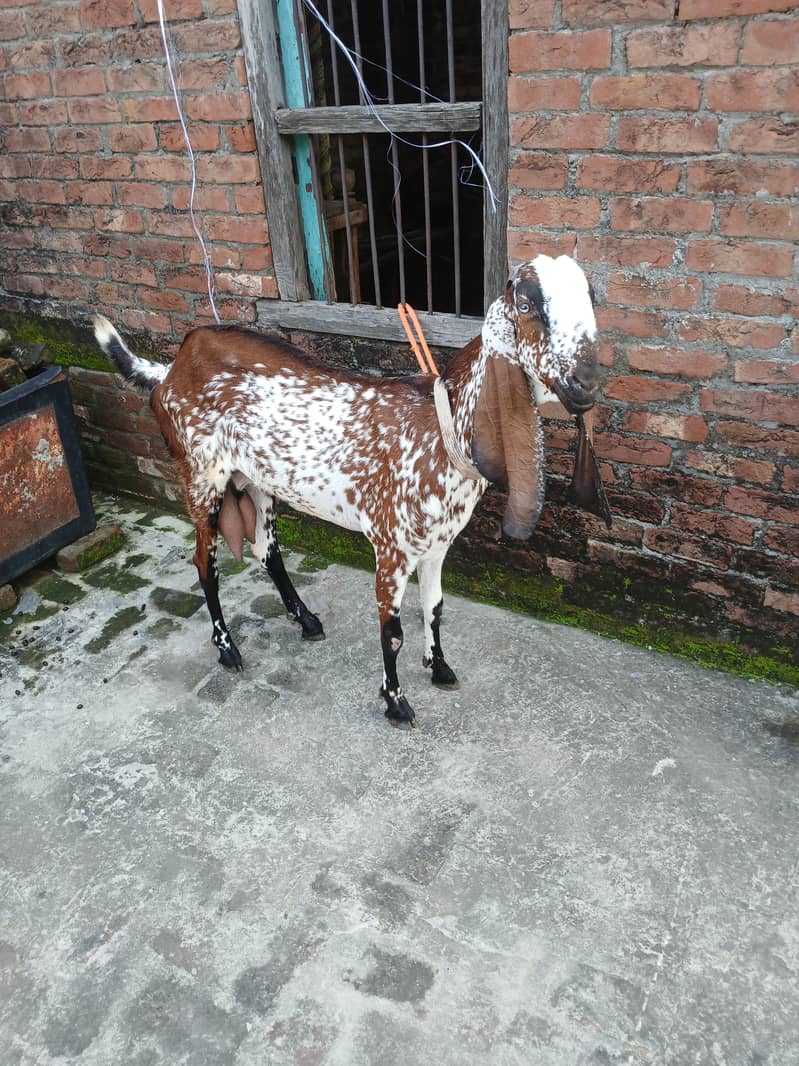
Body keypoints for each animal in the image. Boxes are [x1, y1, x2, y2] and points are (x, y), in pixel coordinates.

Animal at [93, 255, 605, 726]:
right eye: (526, 305)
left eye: (591, 299)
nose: (586, 382)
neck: (442, 430)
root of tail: (169, 370)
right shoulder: (391, 545)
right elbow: (392, 631)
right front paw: (396, 702)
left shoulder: (438, 544)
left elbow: (435, 608)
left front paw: (439, 667)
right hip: (202, 477)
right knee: (205, 561)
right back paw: (227, 648)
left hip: (257, 481)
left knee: (266, 550)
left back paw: (306, 620)